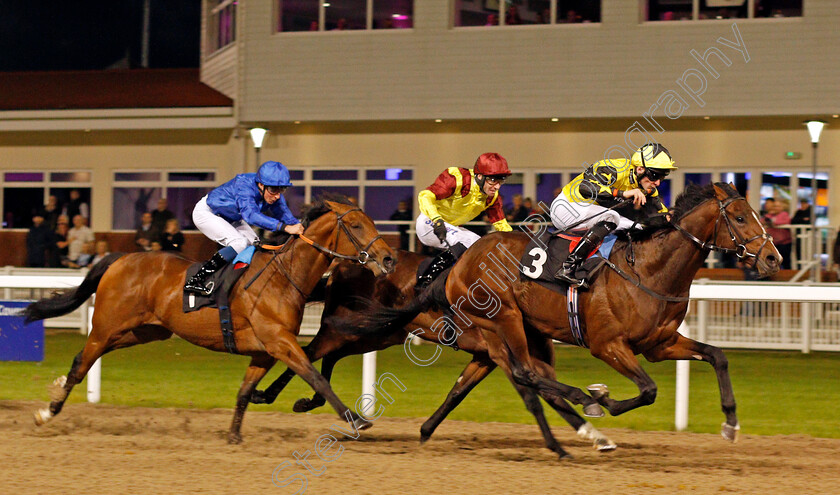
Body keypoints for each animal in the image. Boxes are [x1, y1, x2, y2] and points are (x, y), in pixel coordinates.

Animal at [23, 199, 398, 446]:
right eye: (355, 225)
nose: (389, 259)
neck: (283, 277)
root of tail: (119, 258)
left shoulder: (263, 352)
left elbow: (245, 392)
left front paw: (234, 435)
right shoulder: (279, 342)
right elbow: (315, 376)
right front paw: (356, 419)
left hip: (143, 332)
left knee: (88, 359)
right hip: (105, 327)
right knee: (81, 362)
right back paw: (47, 412)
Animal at [253, 252, 612, 458]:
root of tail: (344, 263)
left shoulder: (487, 356)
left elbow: (458, 392)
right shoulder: (501, 352)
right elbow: (537, 396)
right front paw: (564, 443)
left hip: (380, 333)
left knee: (327, 356)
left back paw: (308, 400)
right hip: (349, 327)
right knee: (309, 351)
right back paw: (270, 395)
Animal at [340, 184, 780, 452]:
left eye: (757, 213)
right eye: (741, 218)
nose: (774, 258)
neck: (648, 270)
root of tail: (464, 259)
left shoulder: (660, 343)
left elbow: (717, 355)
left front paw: (730, 424)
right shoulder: (608, 345)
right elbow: (649, 390)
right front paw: (601, 398)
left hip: (519, 333)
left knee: (512, 379)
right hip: (505, 320)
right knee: (527, 374)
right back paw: (586, 404)